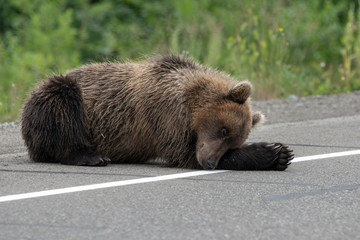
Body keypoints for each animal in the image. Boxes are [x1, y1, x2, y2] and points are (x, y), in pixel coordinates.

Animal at [21, 55, 292, 170]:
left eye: (233, 141)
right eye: (224, 130)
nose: (210, 162)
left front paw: (279, 154)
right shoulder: (165, 115)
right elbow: (183, 153)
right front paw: (273, 152)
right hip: (55, 99)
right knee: (62, 101)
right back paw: (90, 156)